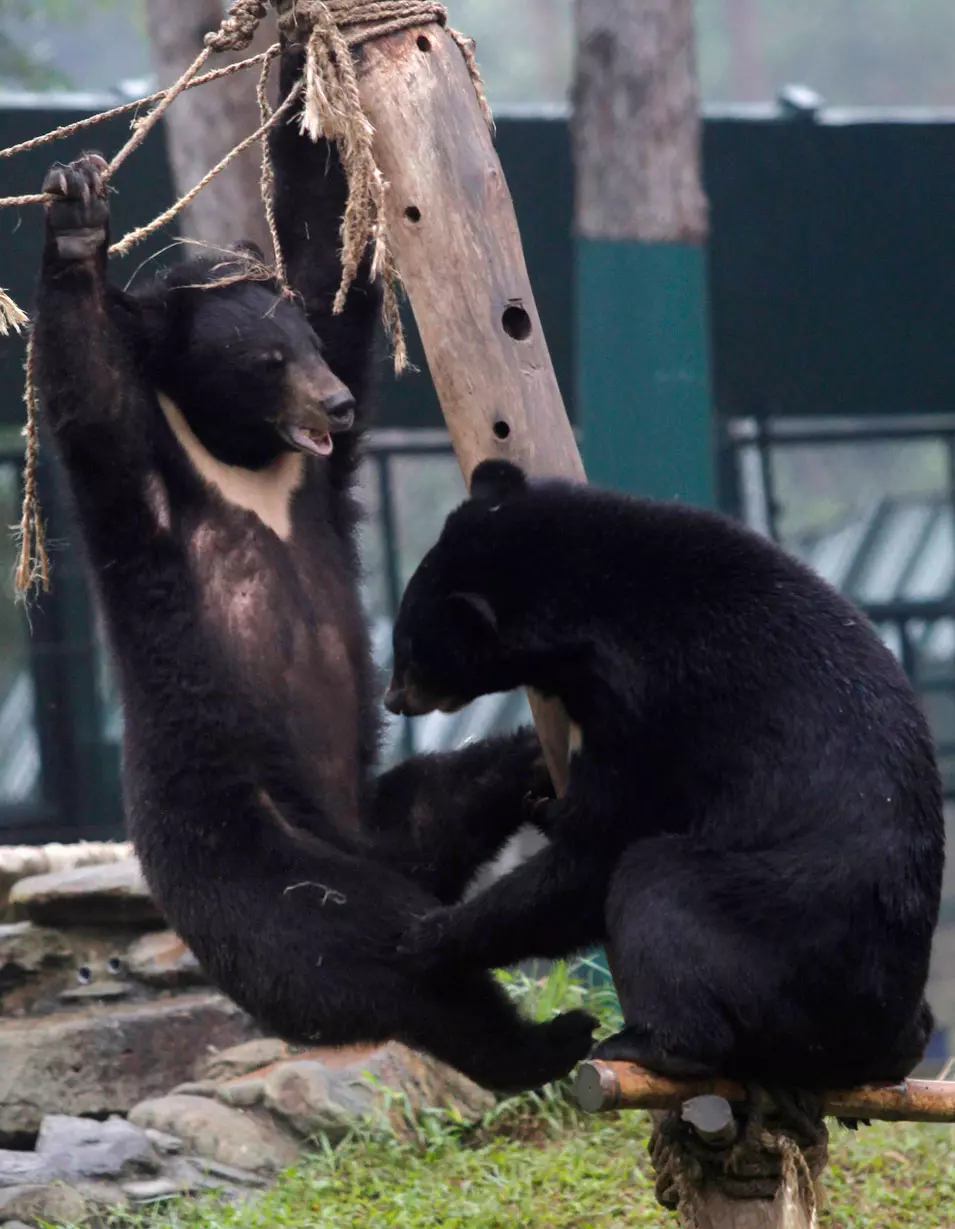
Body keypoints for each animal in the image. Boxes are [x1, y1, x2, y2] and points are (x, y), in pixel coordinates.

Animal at [31, 45, 594, 1096]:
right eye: (266, 359)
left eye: (299, 347)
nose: (335, 405)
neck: (241, 453)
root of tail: (354, 836)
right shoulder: (141, 480)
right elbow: (87, 387)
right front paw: (78, 212)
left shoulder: (319, 426)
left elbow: (327, 251)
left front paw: (301, 47)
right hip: (255, 853)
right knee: (380, 950)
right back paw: (545, 1037)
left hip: (395, 816)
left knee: (467, 787)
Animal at [383, 462, 943, 1086]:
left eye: (410, 651)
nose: (391, 700)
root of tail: (875, 1033)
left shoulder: (651, 713)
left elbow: (596, 852)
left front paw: (422, 939)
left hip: (782, 934)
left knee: (656, 883)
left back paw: (647, 1043)